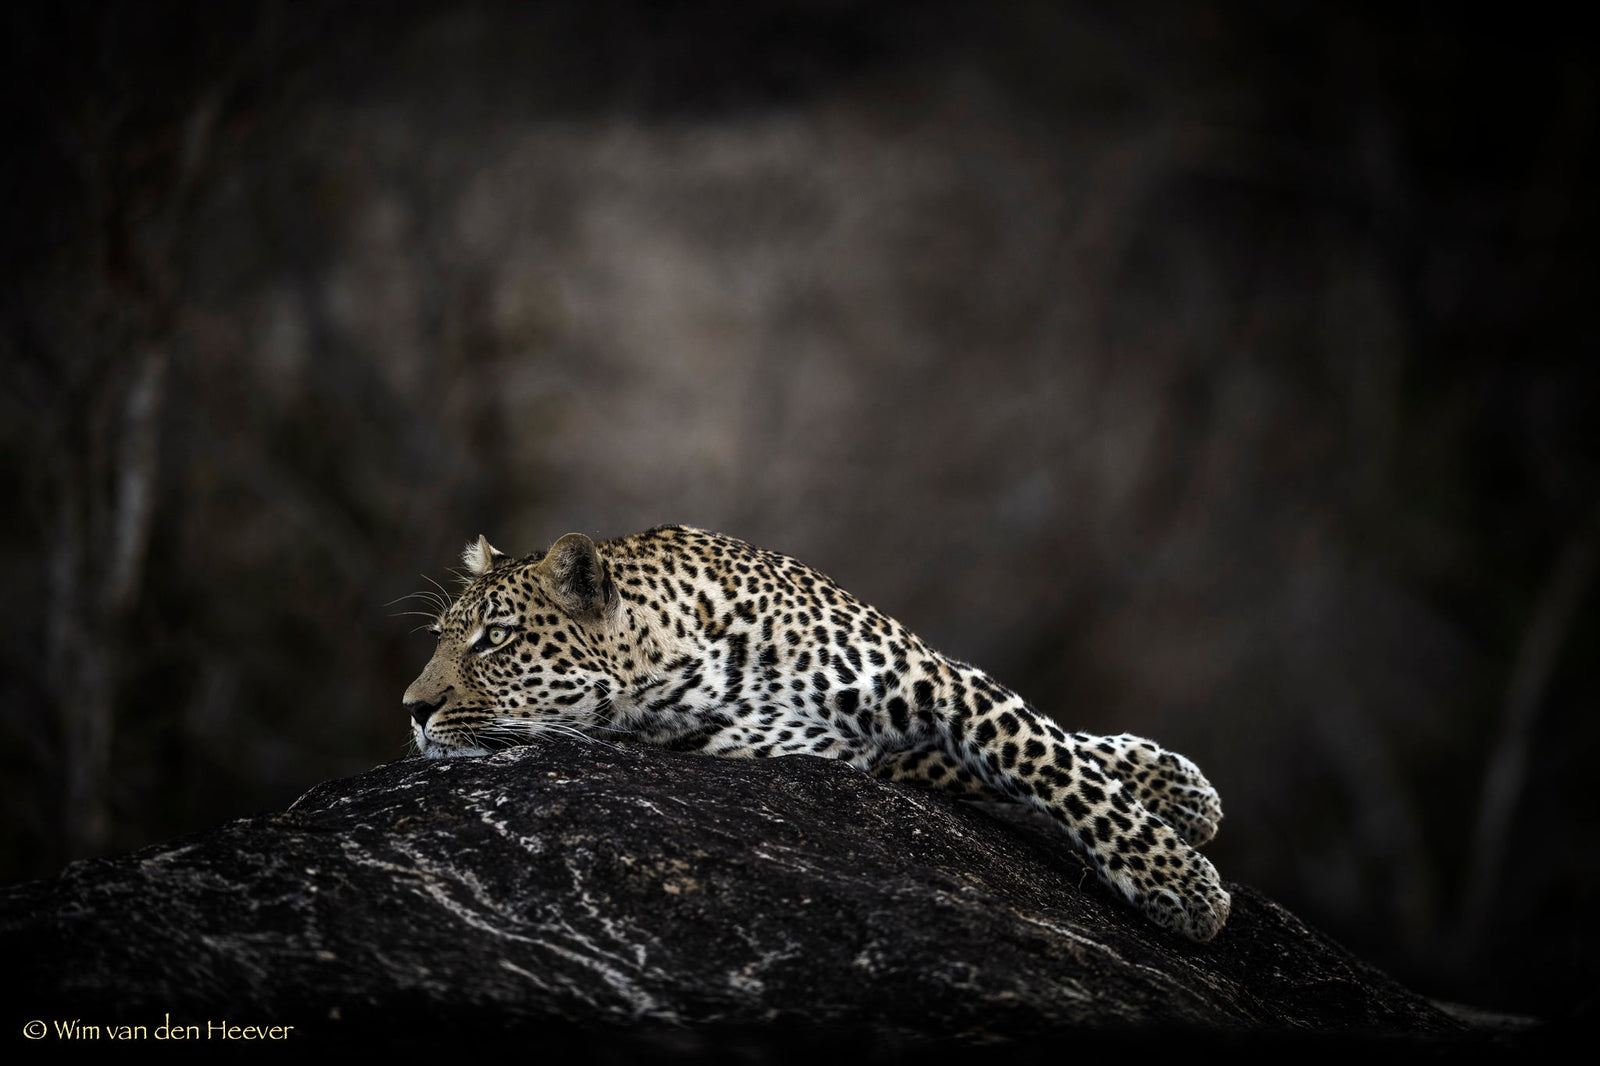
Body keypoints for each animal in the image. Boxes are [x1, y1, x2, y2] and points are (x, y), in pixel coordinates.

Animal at [403, 525, 1231, 942]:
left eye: (494, 640)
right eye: (441, 638)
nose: (410, 707)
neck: (676, 663)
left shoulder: (934, 678)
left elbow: (1051, 756)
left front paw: (1179, 875)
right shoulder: (844, 751)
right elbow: (987, 763)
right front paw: (1180, 836)